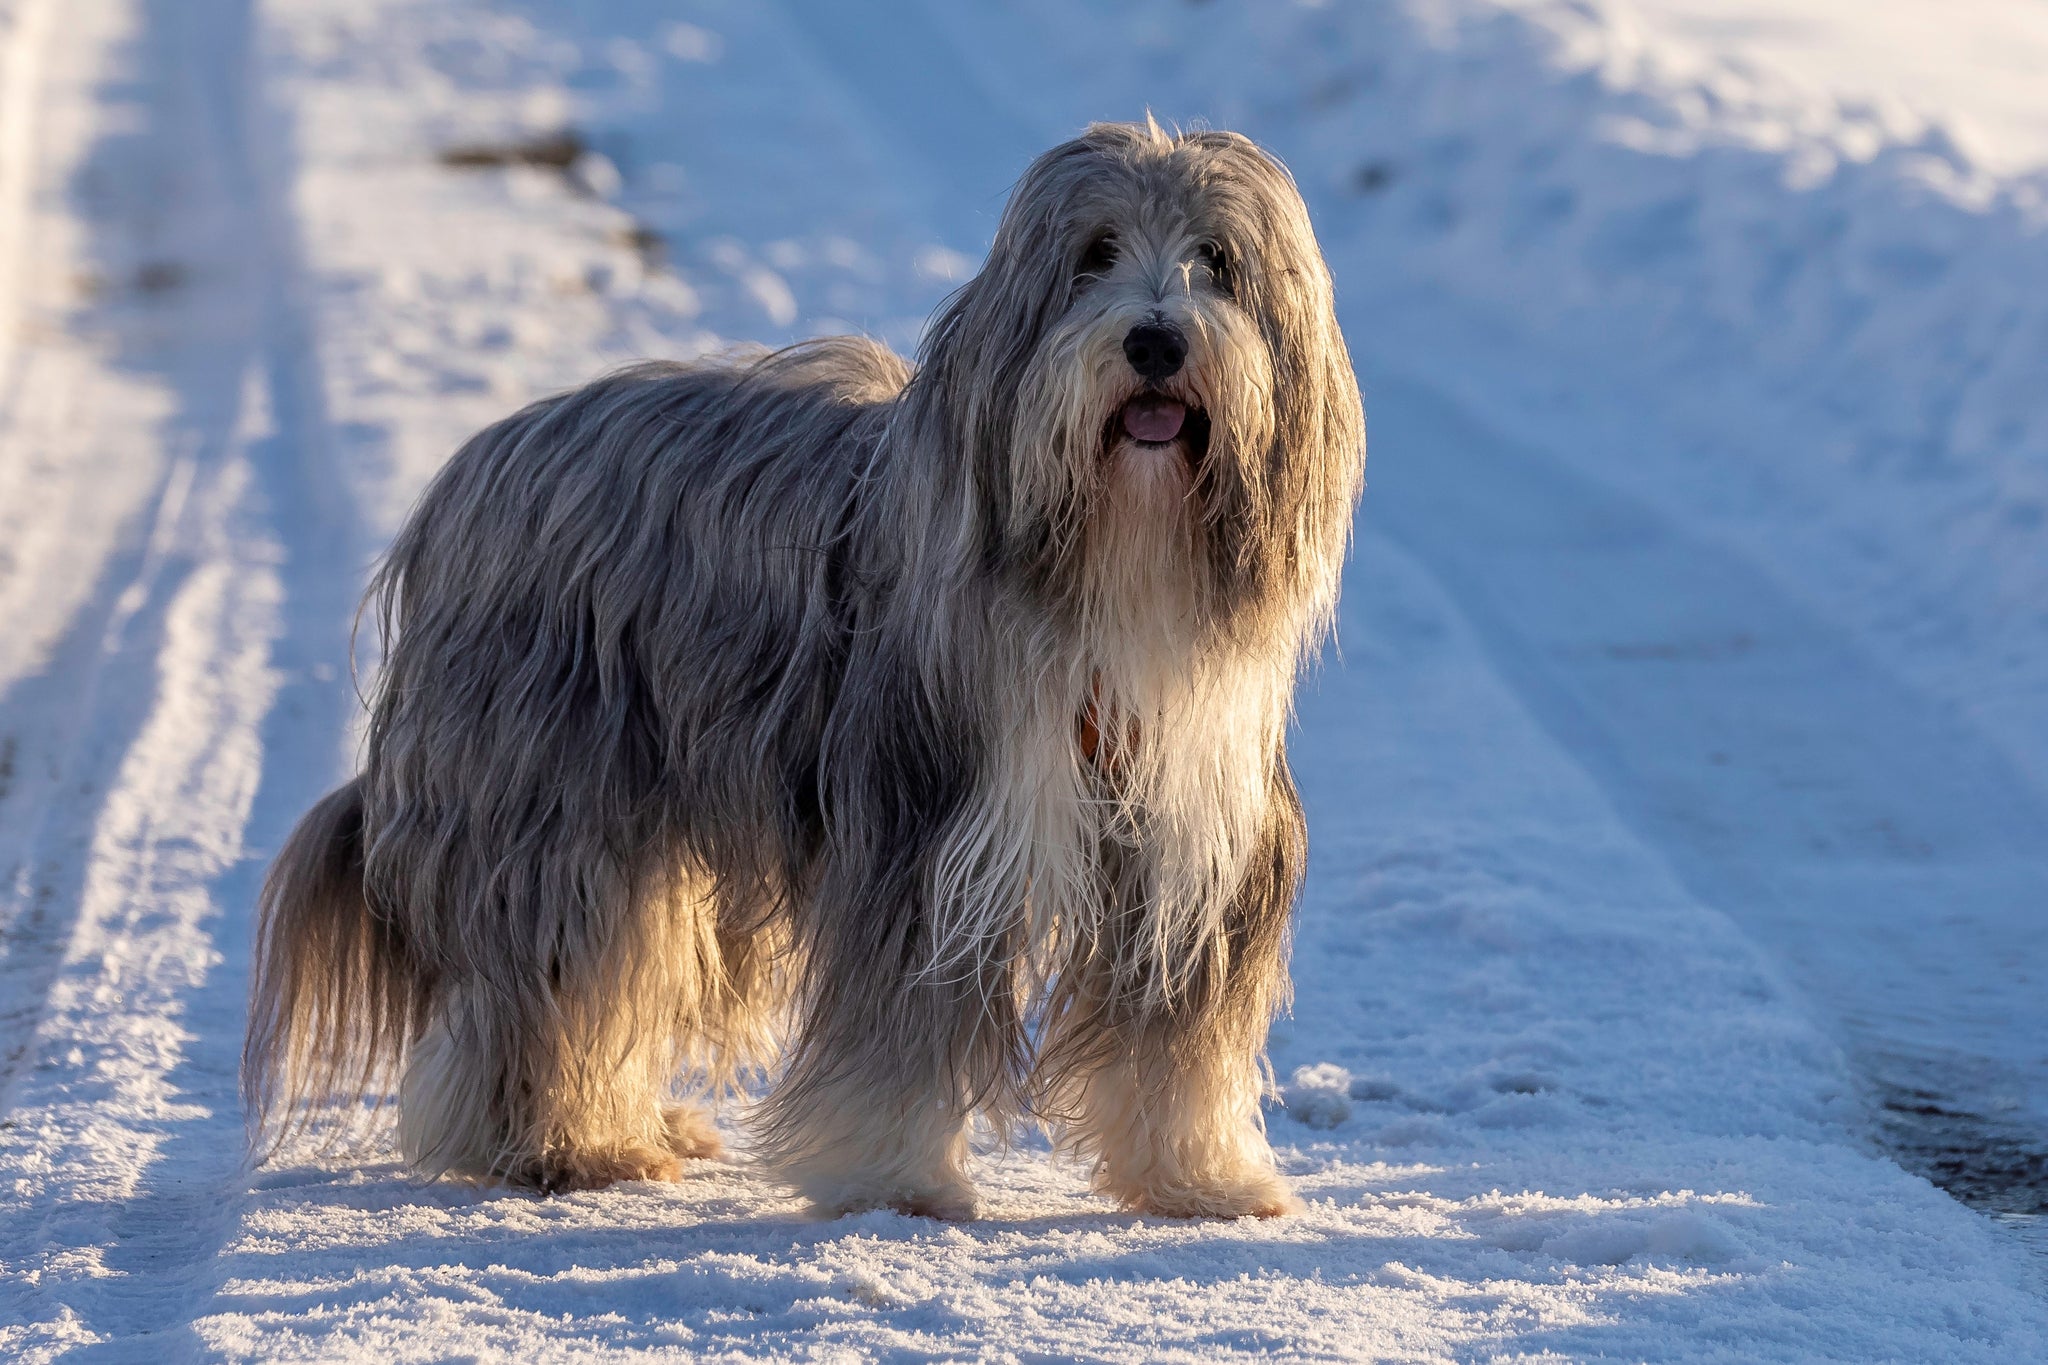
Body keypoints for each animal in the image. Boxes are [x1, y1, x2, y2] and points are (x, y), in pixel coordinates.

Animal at [243, 122, 1359, 1219]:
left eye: (1218, 261)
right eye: (1091, 255)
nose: (1156, 340)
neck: (1113, 567)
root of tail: (470, 473)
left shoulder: (1187, 847)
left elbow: (1177, 1043)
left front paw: (1199, 1177)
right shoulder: (920, 834)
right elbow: (894, 1034)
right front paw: (896, 1182)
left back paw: (634, 1126)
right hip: (550, 800)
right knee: (544, 981)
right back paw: (561, 1143)